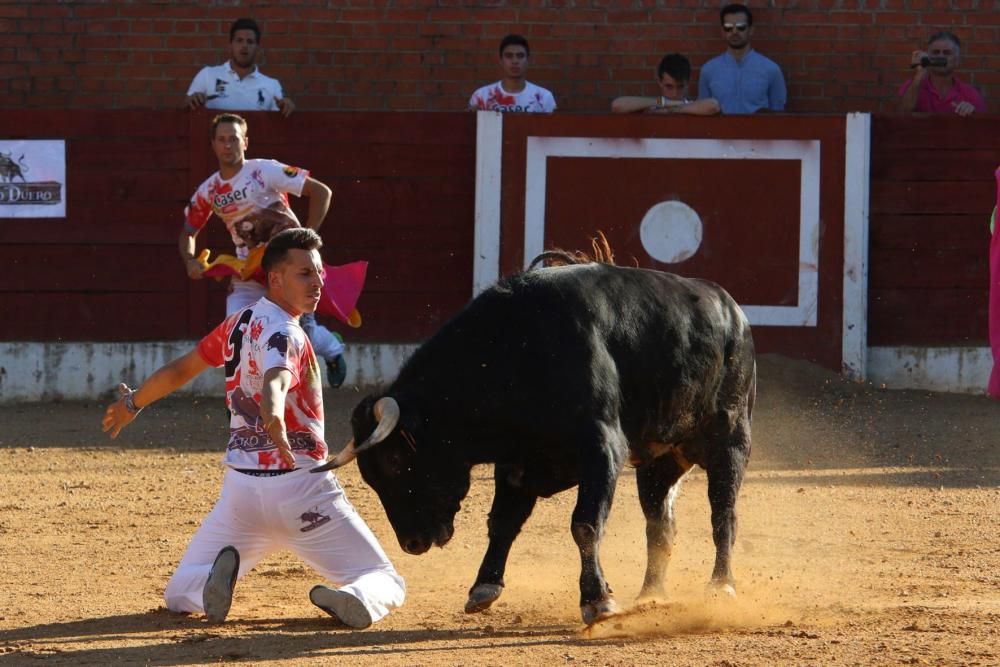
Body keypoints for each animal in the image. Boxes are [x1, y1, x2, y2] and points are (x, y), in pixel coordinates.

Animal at [312, 258, 752, 628]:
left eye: (395, 460)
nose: (412, 543)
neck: (515, 354)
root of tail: (734, 311)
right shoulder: (518, 464)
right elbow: (502, 522)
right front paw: (484, 587)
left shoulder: (602, 449)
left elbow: (585, 524)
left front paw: (597, 601)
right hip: (658, 462)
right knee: (660, 523)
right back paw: (651, 596)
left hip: (730, 441)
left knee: (723, 514)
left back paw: (722, 587)